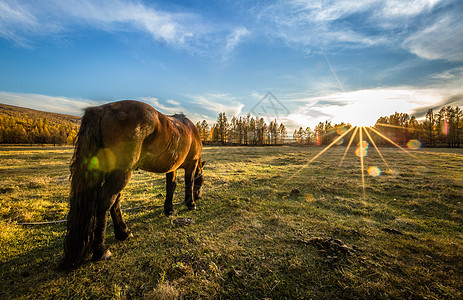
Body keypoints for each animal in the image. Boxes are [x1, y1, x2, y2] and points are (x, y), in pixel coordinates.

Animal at [59, 99, 205, 268]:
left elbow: (171, 187)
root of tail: (101, 110)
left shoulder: (172, 168)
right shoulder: (191, 164)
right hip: (123, 173)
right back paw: (101, 250)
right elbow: (189, 183)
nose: (199, 196)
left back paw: (123, 232)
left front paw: (169, 210)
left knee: (114, 201)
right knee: (106, 201)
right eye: (202, 181)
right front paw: (191, 203)